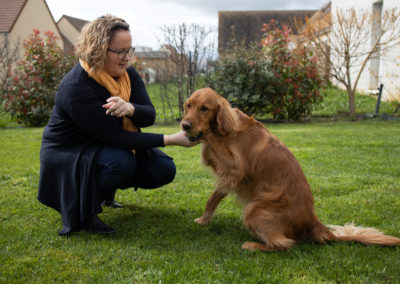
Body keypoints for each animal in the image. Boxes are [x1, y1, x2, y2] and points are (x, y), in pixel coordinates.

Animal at [180, 88, 400, 251]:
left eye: (205, 108)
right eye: (188, 106)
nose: (184, 125)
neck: (227, 130)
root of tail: (313, 221)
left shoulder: (234, 169)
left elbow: (211, 141)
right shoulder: (228, 177)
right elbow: (214, 197)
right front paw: (204, 220)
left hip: (254, 209)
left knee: (284, 244)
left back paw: (253, 245)